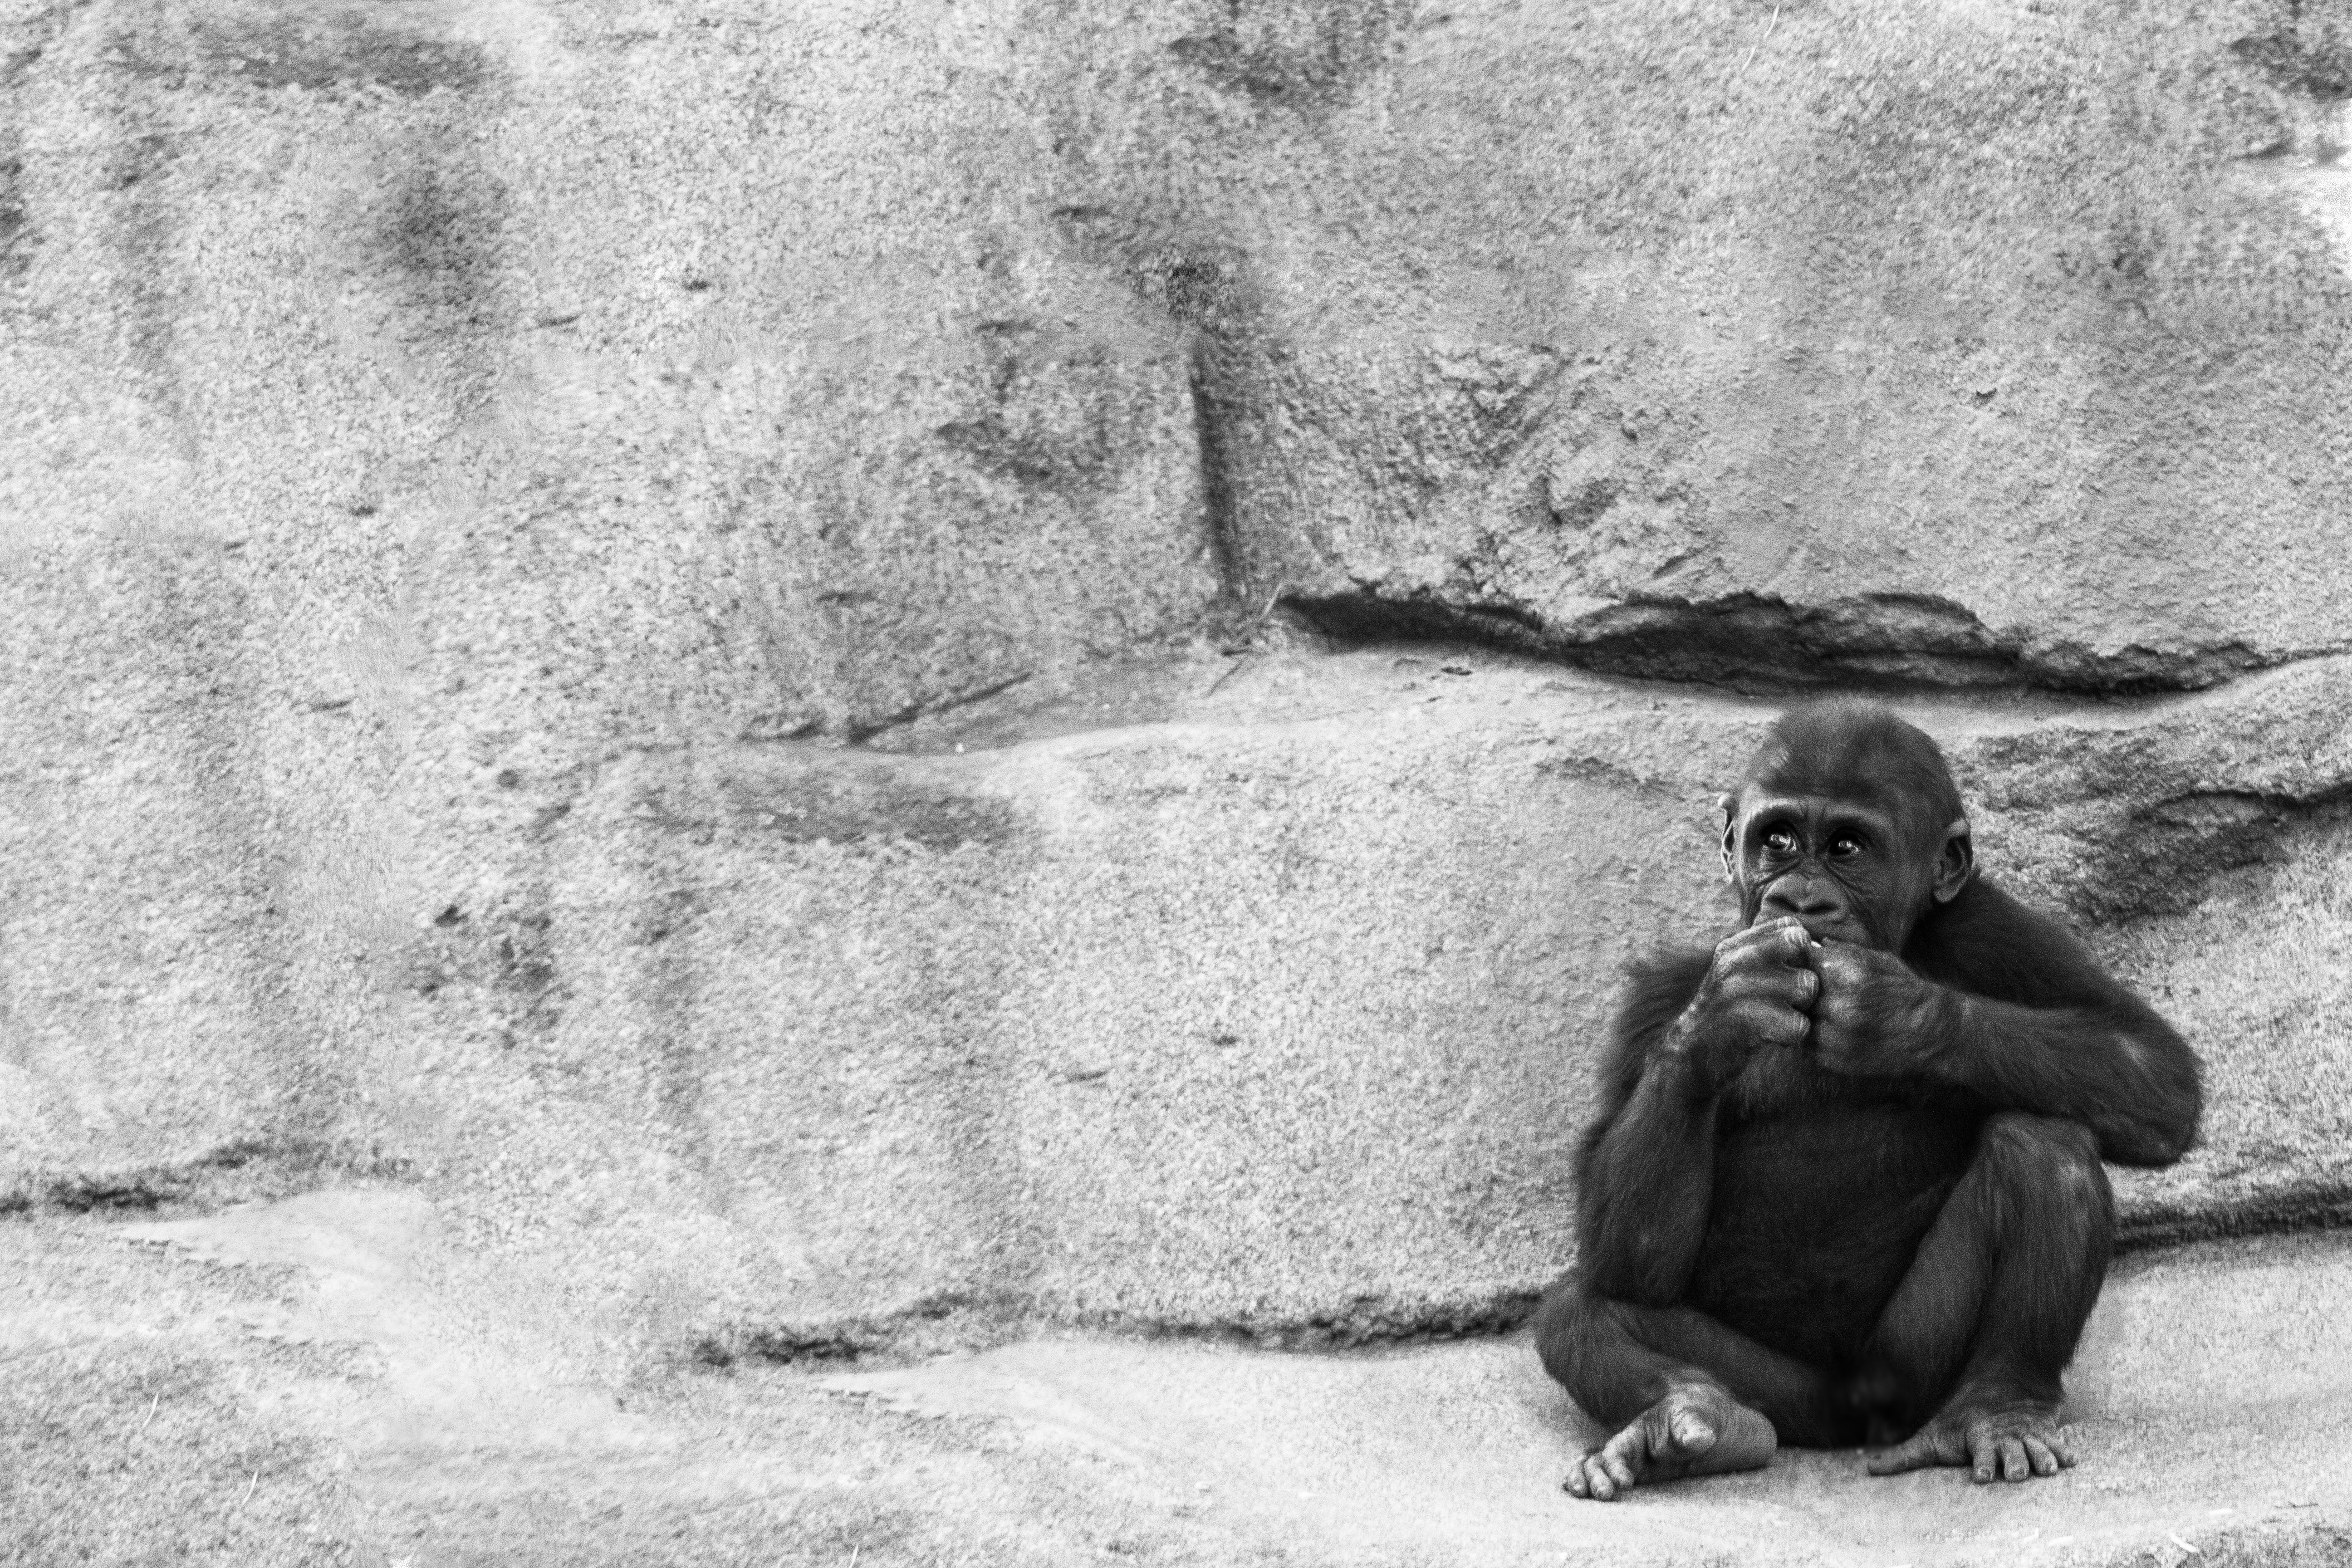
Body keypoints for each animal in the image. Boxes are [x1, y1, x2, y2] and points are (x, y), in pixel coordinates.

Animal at [1536, 700, 2201, 1498]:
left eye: (1847, 848)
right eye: (1779, 839)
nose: (1800, 898)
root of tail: (1847, 1423)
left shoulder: (1992, 925)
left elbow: (2149, 1066)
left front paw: (1891, 1015)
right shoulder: (1653, 1001)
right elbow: (1623, 1250)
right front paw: (1726, 1013)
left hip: (1910, 1373)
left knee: (2043, 1144)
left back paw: (2001, 1405)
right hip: (1787, 1396)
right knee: (1581, 1309)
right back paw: (1692, 1415)